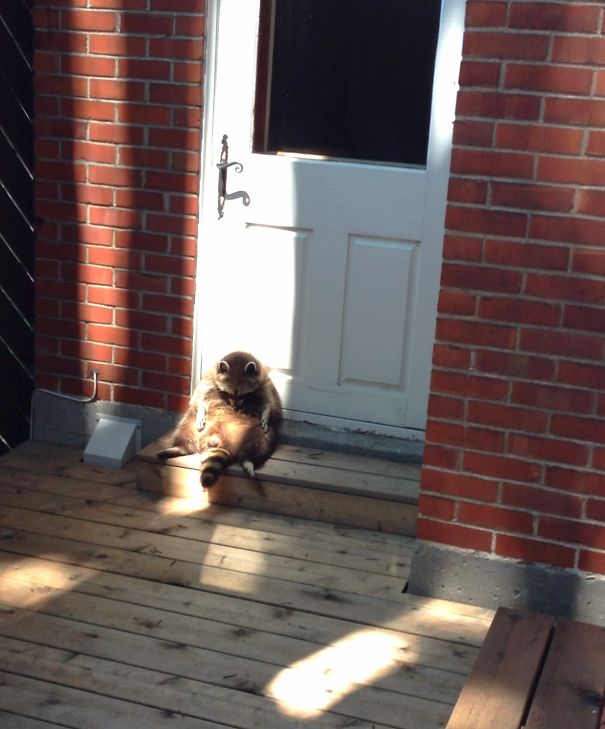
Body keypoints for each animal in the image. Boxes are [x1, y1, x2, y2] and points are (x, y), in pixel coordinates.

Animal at [157, 351, 282, 488]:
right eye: (229, 393)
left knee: (262, 442)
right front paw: (201, 409)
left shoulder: (265, 383)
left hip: (258, 432)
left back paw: (248, 460)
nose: (235, 407)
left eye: (242, 395)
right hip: (191, 424)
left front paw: (266, 413)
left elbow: (270, 402)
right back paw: (181, 447)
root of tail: (221, 439)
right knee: (186, 426)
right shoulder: (209, 378)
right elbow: (199, 397)